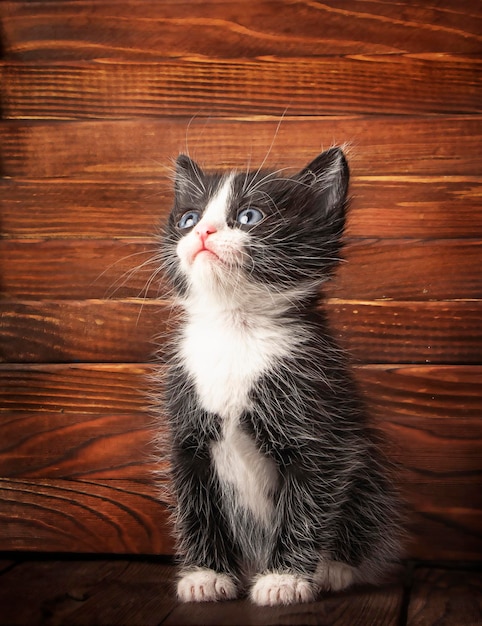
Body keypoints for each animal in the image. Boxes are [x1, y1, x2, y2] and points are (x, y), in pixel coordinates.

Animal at [159, 147, 402, 604]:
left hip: (369, 470)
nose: (203, 232)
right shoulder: (185, 429)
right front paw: (206, 574)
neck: (235, 329)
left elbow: (308, 500)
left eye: (249, 216)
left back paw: (333, 567)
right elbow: (194, 501)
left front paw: (285, 579)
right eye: (189, 218)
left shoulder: (320, 423)